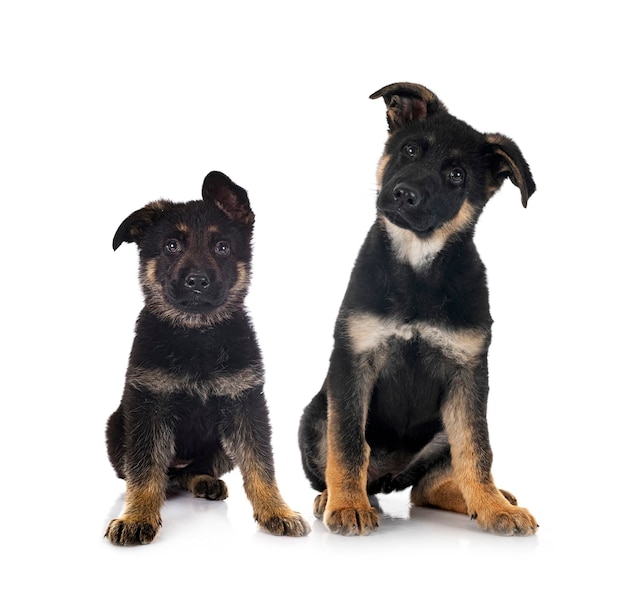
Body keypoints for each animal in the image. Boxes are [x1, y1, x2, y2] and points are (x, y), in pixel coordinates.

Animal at [107, 169, 312, 544]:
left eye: (223, 247)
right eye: (171, 246)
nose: (197, 281)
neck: (197, 334)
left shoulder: (245, 404)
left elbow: (261, 464)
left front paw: (276, 510)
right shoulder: (148, 405)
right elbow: (144, 468)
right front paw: (137, 515)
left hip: (220, 445)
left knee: (193, 471)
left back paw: (204, 482)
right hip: (117, 428)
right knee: (156, 473)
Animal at [298, 82, 536, 536]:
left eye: (456, 175)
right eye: (410, 150)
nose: (404, 194)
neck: (417, 267)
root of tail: (391, 476)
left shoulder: (468, 375)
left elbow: (477, 451)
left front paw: (494, 509)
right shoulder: (352, 362)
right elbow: (348, 443)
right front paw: (347, 505)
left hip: (443, 429)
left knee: (429, 487)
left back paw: (487, 498)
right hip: (316, 415)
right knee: (348, 460)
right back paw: (333, 497)